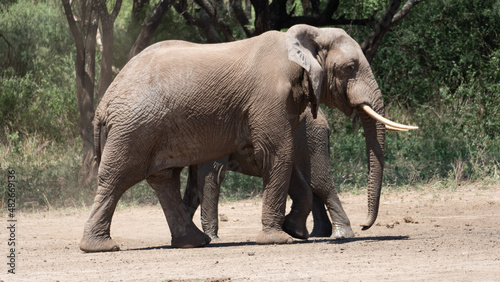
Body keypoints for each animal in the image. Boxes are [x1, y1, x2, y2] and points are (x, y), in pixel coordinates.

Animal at [184, 106, 356, 240]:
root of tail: (324, 120)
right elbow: (194, 183)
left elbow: (209, 176)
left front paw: (211, 238)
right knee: (313, 186)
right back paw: (315, 234)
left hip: (310, 139)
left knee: (320, 183)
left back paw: (341, 235)